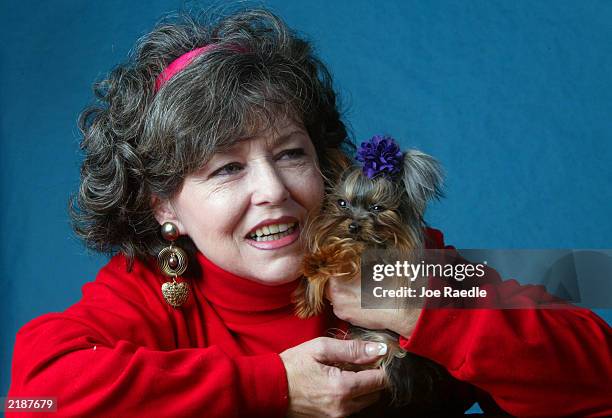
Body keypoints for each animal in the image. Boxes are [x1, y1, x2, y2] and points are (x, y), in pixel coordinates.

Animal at [294, 136, 452, 410]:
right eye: (342, 202)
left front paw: (330, 257)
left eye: (378, 208)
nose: (353, 225)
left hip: (387, 345)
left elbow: (352, 252)